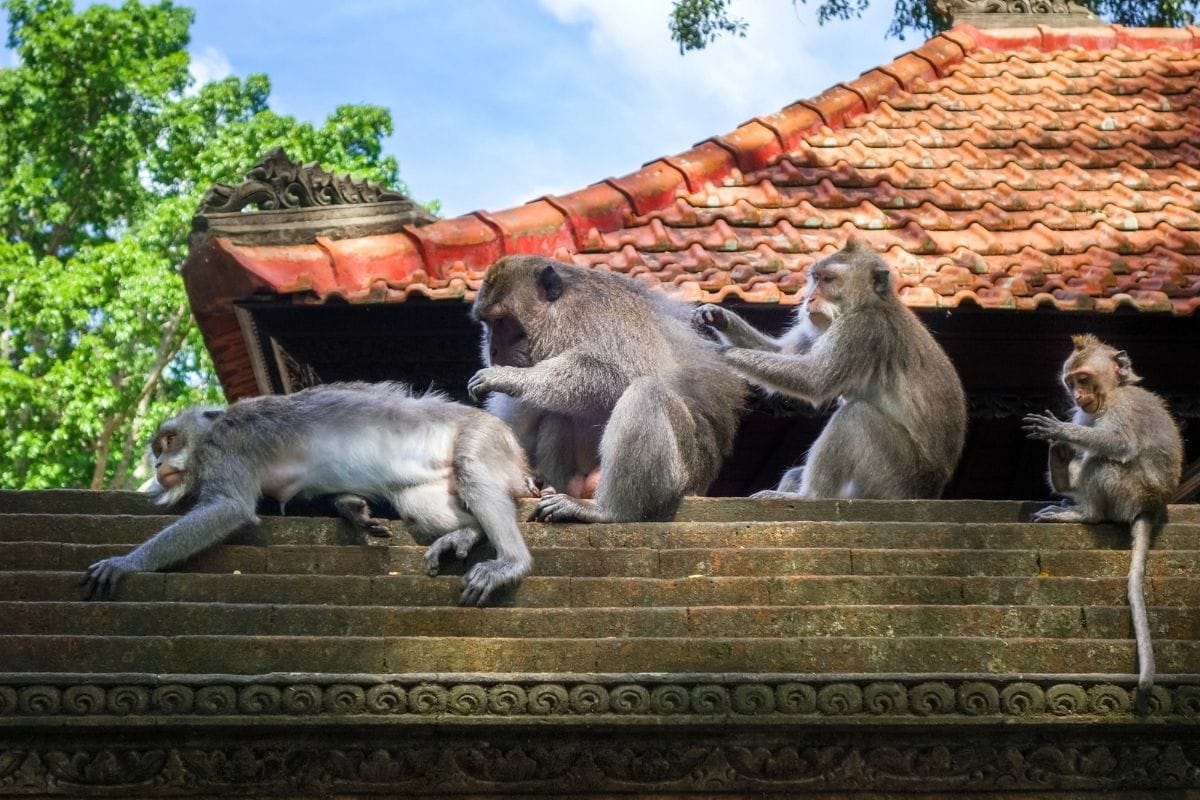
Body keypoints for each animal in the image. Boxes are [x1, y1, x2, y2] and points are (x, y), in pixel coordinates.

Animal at [80, 382, 536, 607]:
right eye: (157, 449)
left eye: (169, 440)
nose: (158, 465)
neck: (209, 434)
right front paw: (351, 509)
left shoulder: (226, 449)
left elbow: (229, 507)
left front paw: (127, 563)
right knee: (416, 502)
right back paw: (468, 532)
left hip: (486, 436)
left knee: (472, 467)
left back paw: (511, 561)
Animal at [466, 255, 745, 523]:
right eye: (488, 323)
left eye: (502, 321)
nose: (492, 350)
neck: (561, 314)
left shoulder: (599, 319)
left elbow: (619, 376)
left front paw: (509, 377)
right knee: (556, 413)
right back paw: (551, 486)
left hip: (683, 476)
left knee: (646, 393)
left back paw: (609, 511)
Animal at [693, 238, 966, 499]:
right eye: (816, 279)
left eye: (829, 279)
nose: (809, 299)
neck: (869, 303)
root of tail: (931, 491)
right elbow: (784, 353)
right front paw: (718, 317)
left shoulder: (862, 328)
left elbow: (814, 379)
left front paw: (720, 353)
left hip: (896, 479)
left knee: (856, 416)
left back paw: (809, 496)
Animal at [1023, 335, 1183, 699]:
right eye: (1071, 383)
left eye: (1083, 379)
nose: (1077, 397)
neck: (1112, 393)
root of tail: (1151, 507)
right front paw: (1057, 448)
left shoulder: (1124, 407)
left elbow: (1119, 443)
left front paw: (1061, 430)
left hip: (1130, 492)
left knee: (1102, 461)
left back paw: (1086, 514)